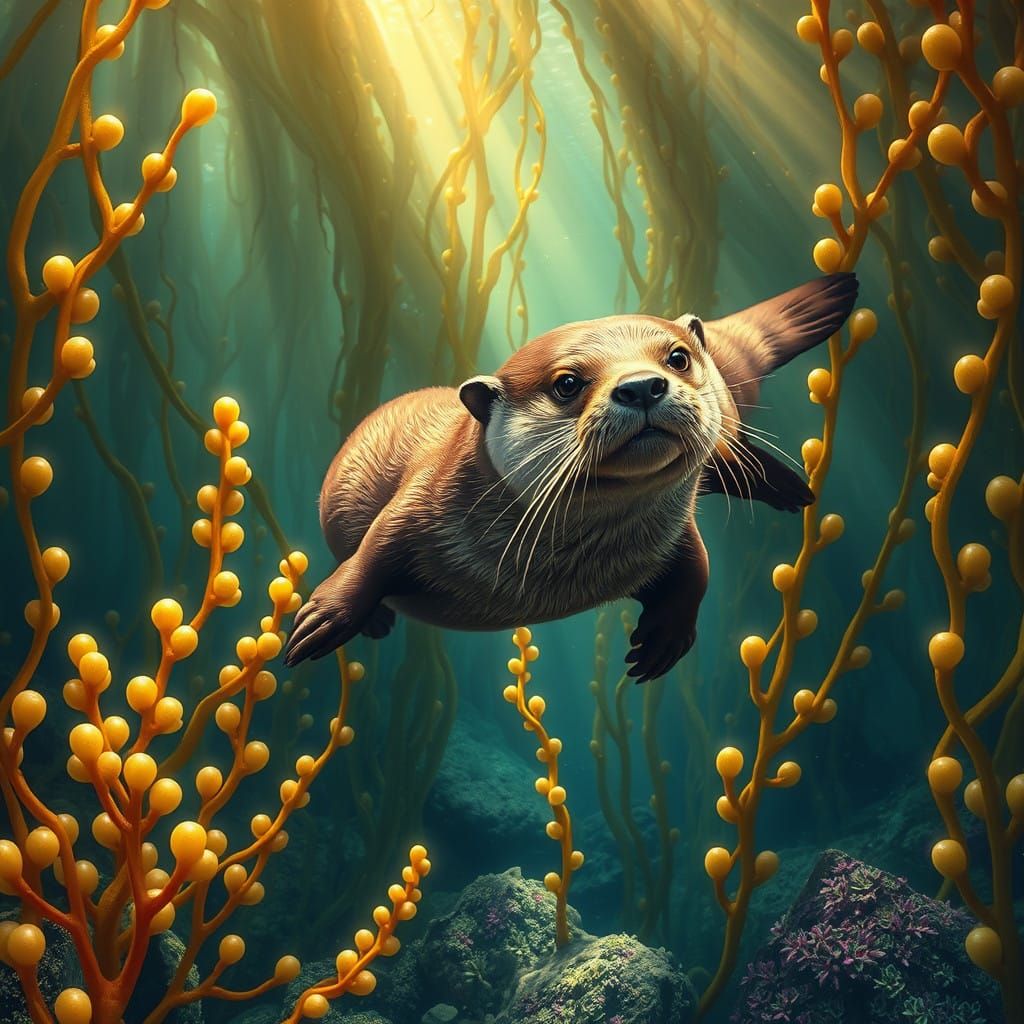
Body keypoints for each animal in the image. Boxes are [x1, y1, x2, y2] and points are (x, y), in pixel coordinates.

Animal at [284, 273, 857, 681]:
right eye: (566, 383)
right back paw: (377, 621)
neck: (558, 569)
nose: (642, 385)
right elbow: (372, 553)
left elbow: (698, 569)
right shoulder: (419, 502)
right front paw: (322, 620)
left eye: (676, 357)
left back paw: (788, 486)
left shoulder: (673, 534)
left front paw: (664, 639)